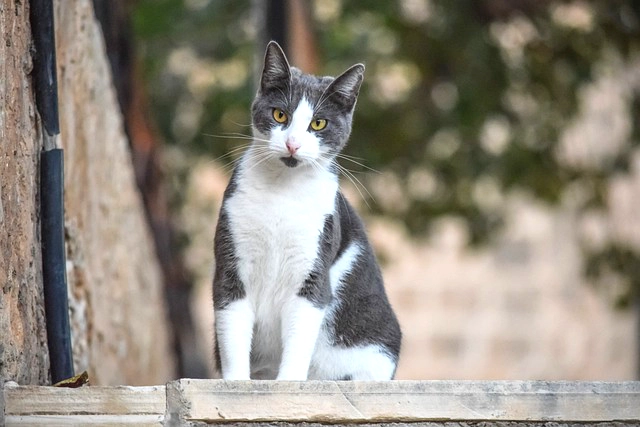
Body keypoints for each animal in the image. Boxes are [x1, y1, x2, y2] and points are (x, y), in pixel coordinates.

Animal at [214, 41, 400, 382]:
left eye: (318, 123)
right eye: (279, 114)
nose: (292, 144)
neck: (282, 191)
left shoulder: (313, 265)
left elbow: (301, 329)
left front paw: (288, 381)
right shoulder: (231, 261)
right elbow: (232, 326)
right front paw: (235, 383)